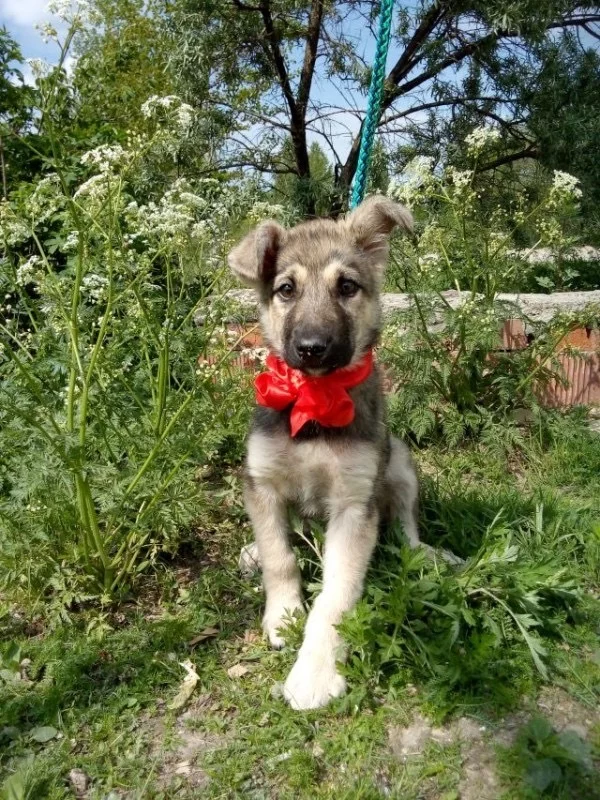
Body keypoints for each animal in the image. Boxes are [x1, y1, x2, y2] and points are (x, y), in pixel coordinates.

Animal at [230, 197, 422, 708]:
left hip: (399, 463)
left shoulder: (355, 505)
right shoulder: (261, 483)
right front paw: (282, 615)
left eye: (347, 287)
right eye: (286, 289)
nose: (312, 349)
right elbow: (279, 555)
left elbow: (336, 596)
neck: (316, 399)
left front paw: (315, 672)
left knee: (407, 527)